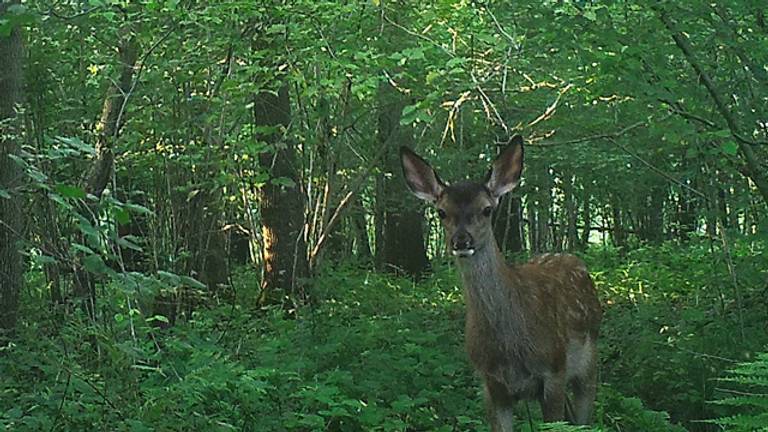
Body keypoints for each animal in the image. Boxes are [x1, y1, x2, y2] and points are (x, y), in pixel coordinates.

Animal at [400, 134, 604, 428]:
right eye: (441, 212)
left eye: (487, 210)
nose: (461, 240)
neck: (508, 347)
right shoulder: (491, 385)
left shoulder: (554, 369)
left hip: (588, 362)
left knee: (582, 417)